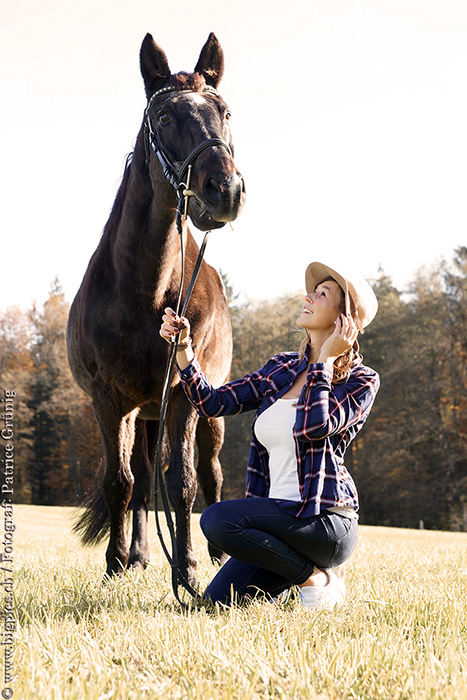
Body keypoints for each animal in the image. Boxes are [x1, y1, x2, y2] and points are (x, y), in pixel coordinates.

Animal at [68, 32, 249, 584]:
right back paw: (138, 555)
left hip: (202, 413)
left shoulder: (185, 398)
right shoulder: (109, 401)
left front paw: (187, 569)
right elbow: (121, 483)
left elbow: (184, 481)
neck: (145, 291)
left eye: (225, 111)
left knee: (210, 475)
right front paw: (115, 564)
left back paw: (215, 554)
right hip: (143, 413)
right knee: (140, 476)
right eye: (165, 116)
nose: (224, 190)